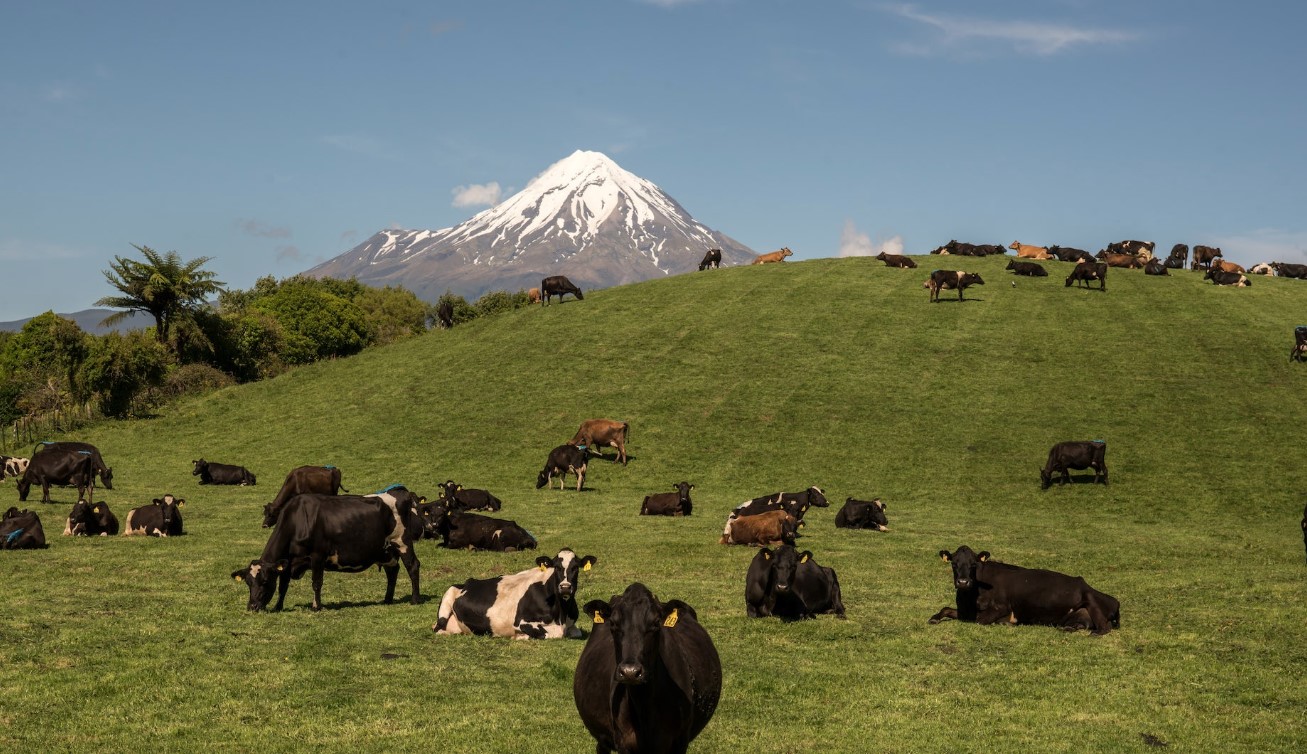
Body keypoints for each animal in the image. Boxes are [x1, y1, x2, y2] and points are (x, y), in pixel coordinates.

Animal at [230, 488, 423, 611]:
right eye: (248, 582)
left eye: (264, 581)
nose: (252, 606)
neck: (297, 521)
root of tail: (402, 492)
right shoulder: (287, 561)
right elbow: (283, 586)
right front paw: (278, 606)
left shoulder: (317, 556)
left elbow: (316, 583)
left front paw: (317, 606)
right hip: (385, 551)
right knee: (392, 571)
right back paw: (387, 600)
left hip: (402, 542)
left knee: (413, 566)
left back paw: (415, 600)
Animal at [433, 546, 598, 635]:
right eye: (556, 567)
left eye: (575, 567)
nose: (565, 587)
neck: (561, 614)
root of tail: (468, 582)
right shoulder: (522, 622)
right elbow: (555, 633)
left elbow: (576, 632)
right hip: (446, 602)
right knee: (437, 628)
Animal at [925, 543, 1118, 632]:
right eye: (954, 564)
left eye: (973, 564)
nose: (963, 582)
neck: (970, 598)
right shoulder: (965, 611)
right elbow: (946, 609)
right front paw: (934, 618)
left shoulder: (1001, 607)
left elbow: (980, 620)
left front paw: (1005, 623)